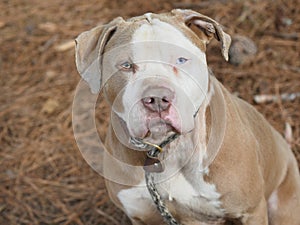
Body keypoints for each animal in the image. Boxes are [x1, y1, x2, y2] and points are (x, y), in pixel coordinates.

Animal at [74, 9, 300, 225]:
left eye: (181, 59)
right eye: (126, 65)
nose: (157, 98)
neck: (165, 149)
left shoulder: (250, 211)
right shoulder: (147, 215)